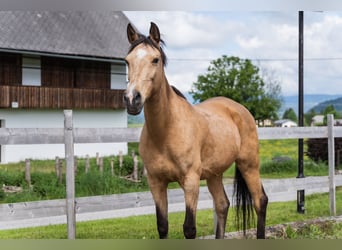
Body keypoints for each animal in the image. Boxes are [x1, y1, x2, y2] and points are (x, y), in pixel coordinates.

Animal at [122, 22, 268, 239]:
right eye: (127, 61)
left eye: (155, 59)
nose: (132, 99)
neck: (166, 132)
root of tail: (239, 109)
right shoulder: (156, 183)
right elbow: (162, 226)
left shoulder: (190, 182)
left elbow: (189, 228)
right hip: (214, 174)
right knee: (222, 205)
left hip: (249, 165)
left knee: (260, 201)